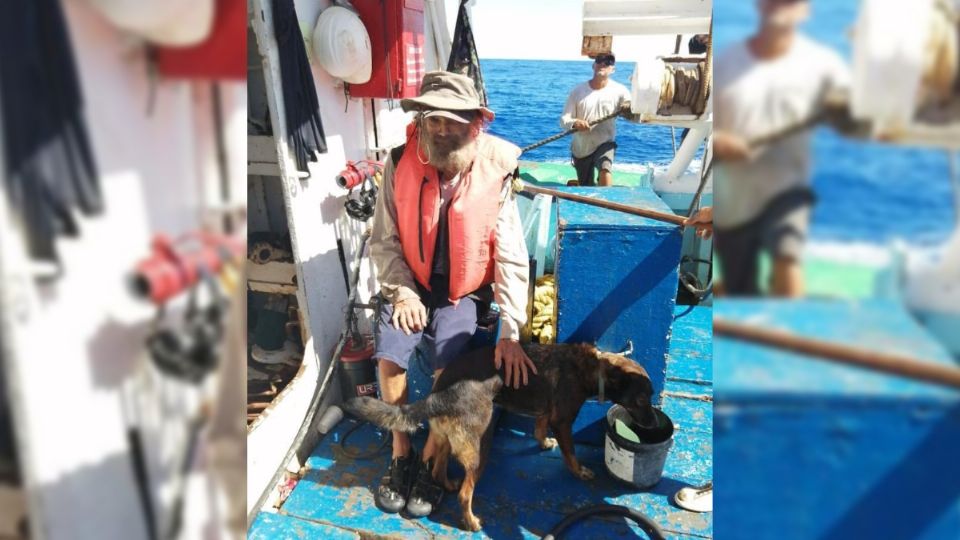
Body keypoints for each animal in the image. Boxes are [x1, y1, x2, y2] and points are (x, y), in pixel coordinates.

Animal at [346, 342, 660, 532]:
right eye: (642, 400)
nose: (654, 424)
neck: (594, 368)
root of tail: (439, 394)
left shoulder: (545, 411)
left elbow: (539, 427)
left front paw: (543, 443)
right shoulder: (562, 420)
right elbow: (570, 453)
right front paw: (580, 471)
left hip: (446, 438)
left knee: (436, 468)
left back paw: (448, 484)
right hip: (480, 447)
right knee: (466, 493)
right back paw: (472, 522)